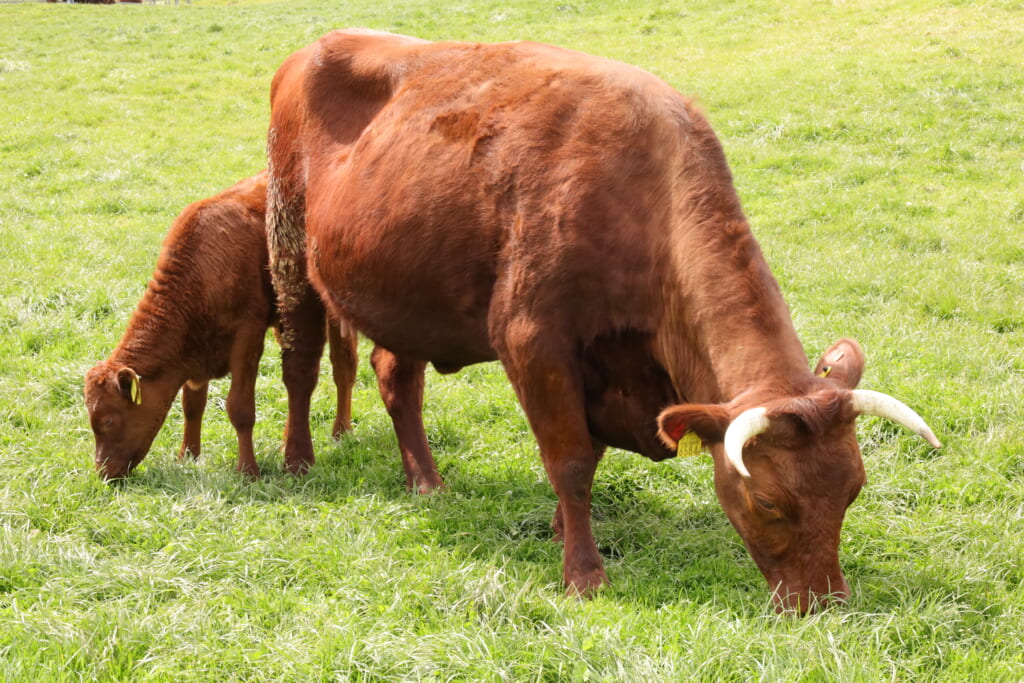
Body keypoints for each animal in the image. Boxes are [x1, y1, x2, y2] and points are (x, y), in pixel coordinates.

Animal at [83, 171, 364, 481]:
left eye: (108, 420)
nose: (103, 472)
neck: (201, 272)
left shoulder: (247, 337)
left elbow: (240, 409)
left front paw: (248, 471)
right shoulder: (194, 349)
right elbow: (192, 406)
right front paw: (188, 457)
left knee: (343, 367)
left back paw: (341, 432)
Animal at [266, 29, 942, 610]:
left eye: (852, 489)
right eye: (769, 501)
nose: (826, 603)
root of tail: (314, 48)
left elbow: (586, 456)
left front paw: (560, 531)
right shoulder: (533, 342)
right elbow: (570, 463)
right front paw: (583, 574)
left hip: (404, 292)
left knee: (395, 377)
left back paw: (426, 481)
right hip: (289, 250)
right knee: (300, 364)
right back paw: (295, 462)